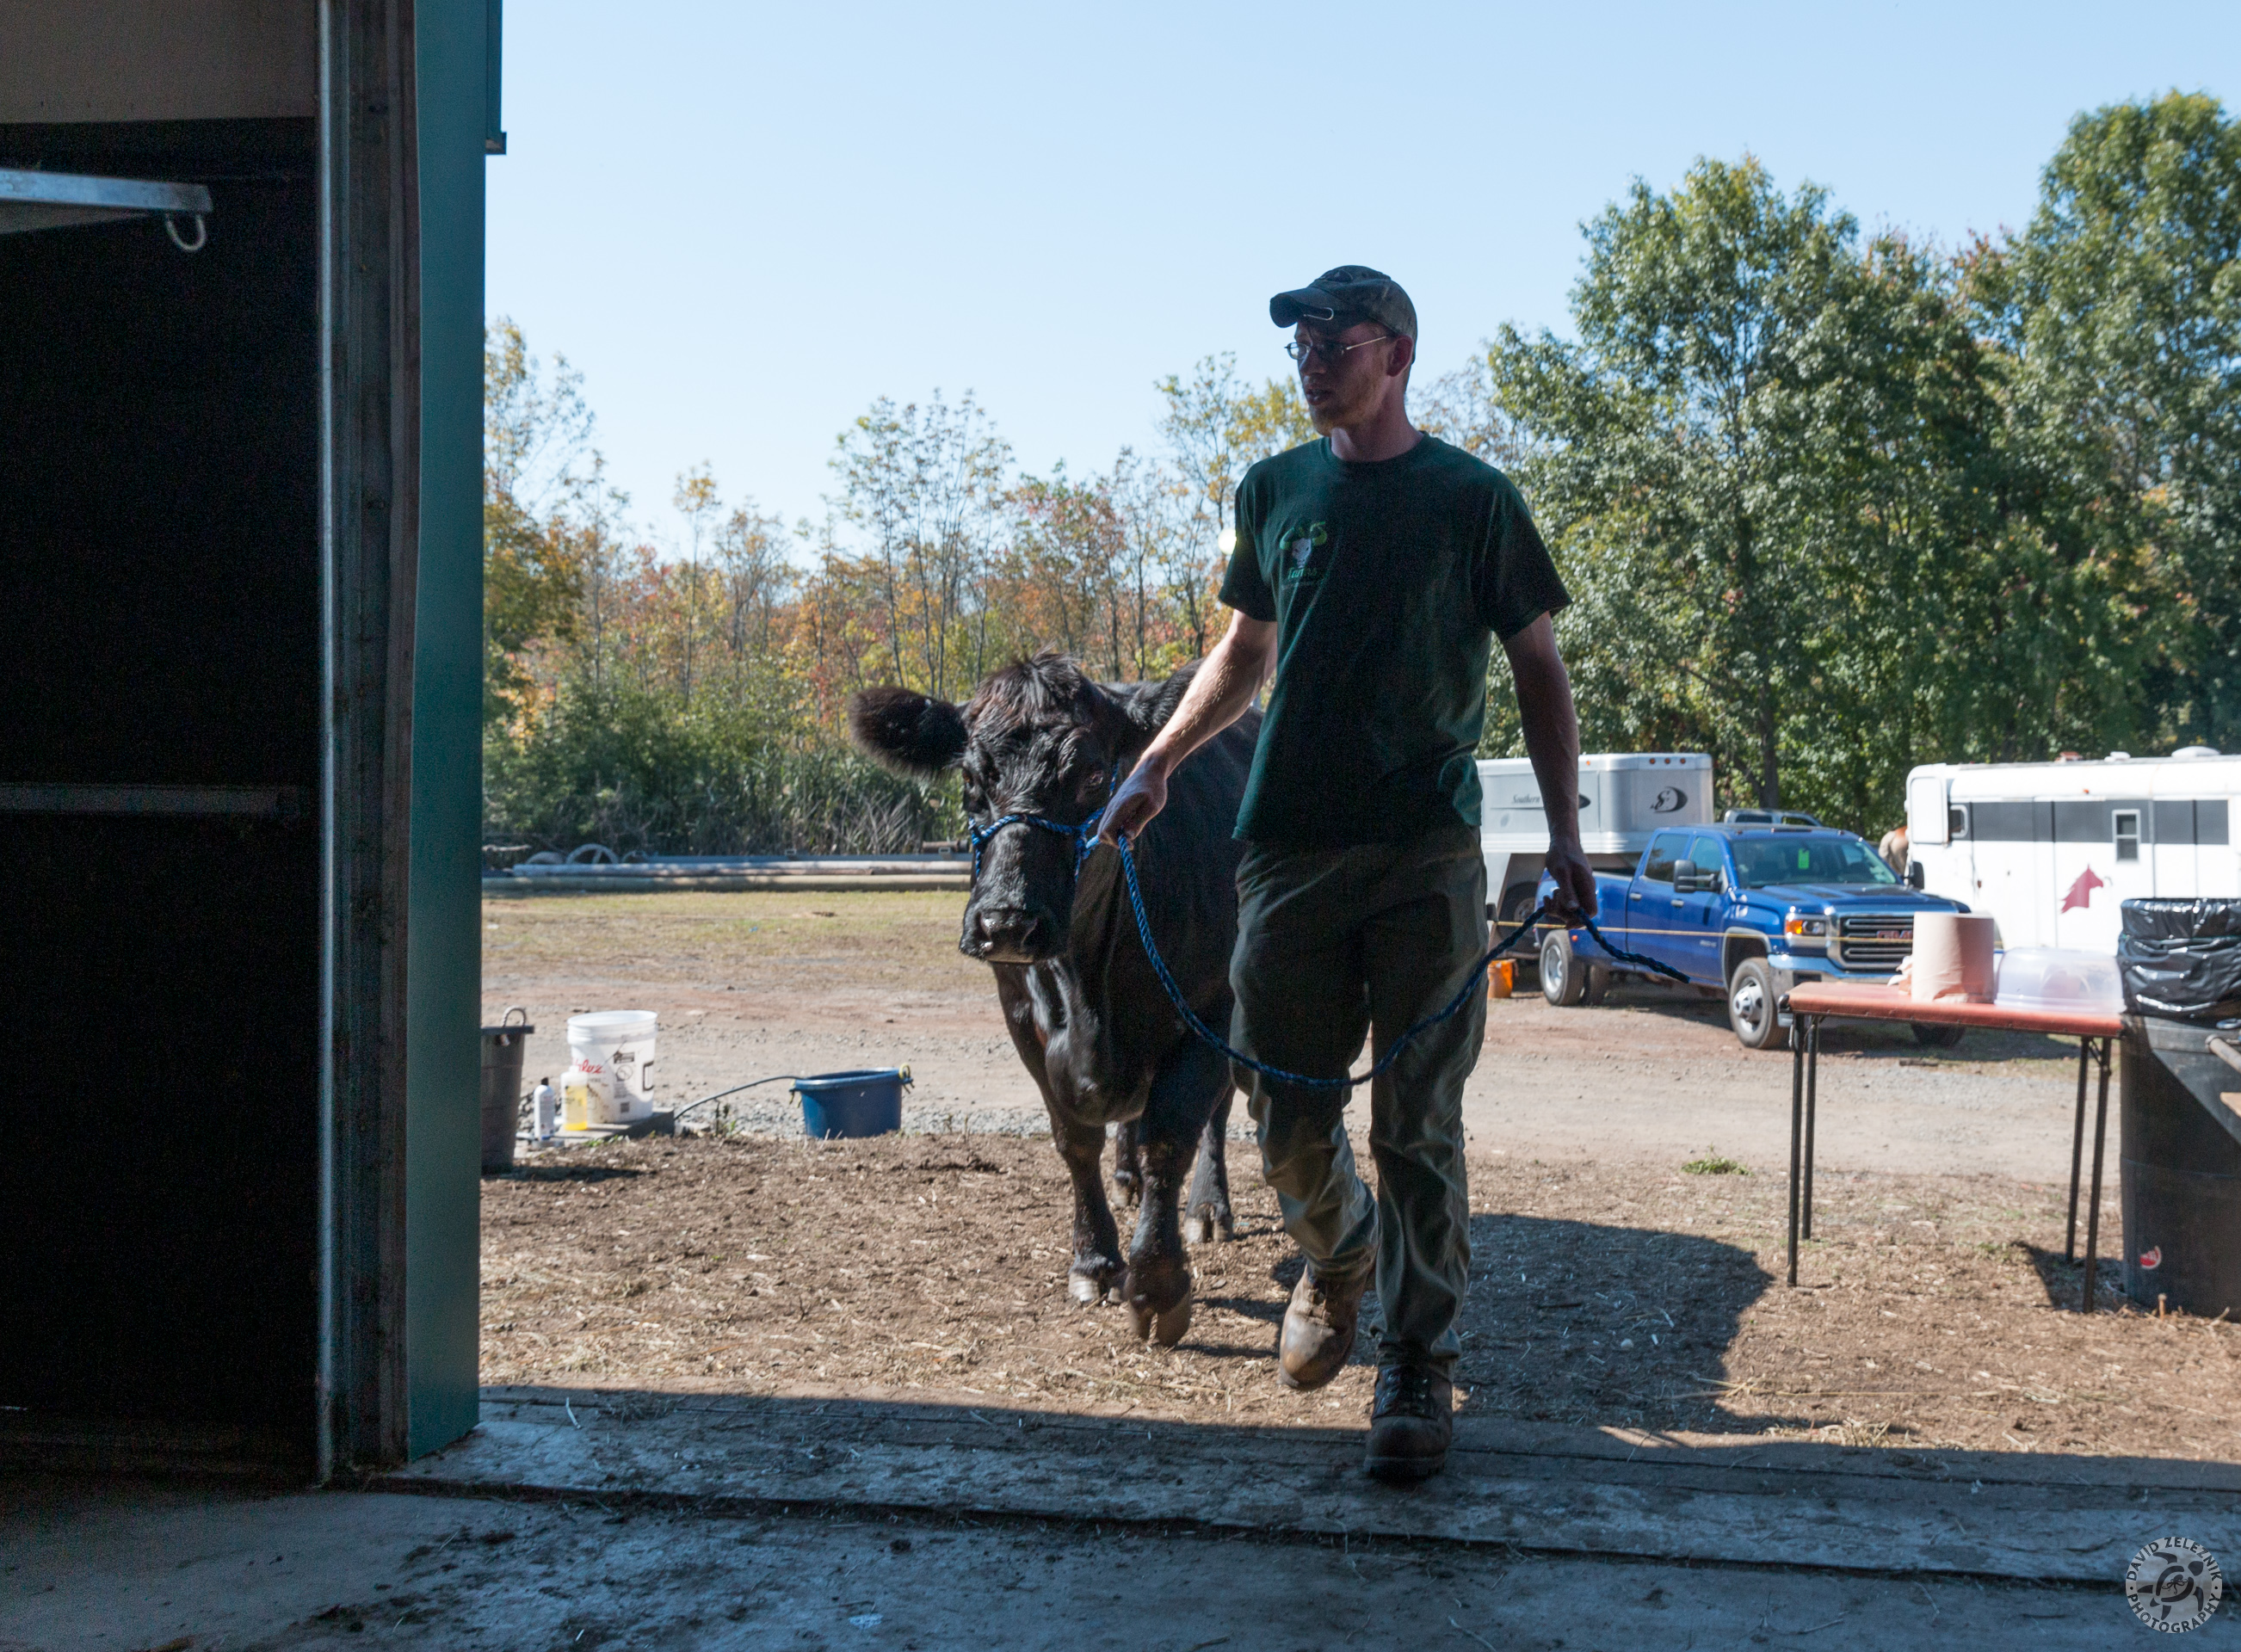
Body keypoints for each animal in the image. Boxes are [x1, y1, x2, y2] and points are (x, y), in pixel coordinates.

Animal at [847, 645, 1255, 1345]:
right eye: (970, 782)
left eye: (1093, 777)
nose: (1006, 921)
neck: (1090, 984)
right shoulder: (1020, 1017)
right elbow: (1074, 1139)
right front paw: (1095, 1261)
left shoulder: (1210, 1010)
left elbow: (1173, 1134)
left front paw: (1156, 1282)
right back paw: (1125, 1180)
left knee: (1215, 1117)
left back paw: (1207, 1208)